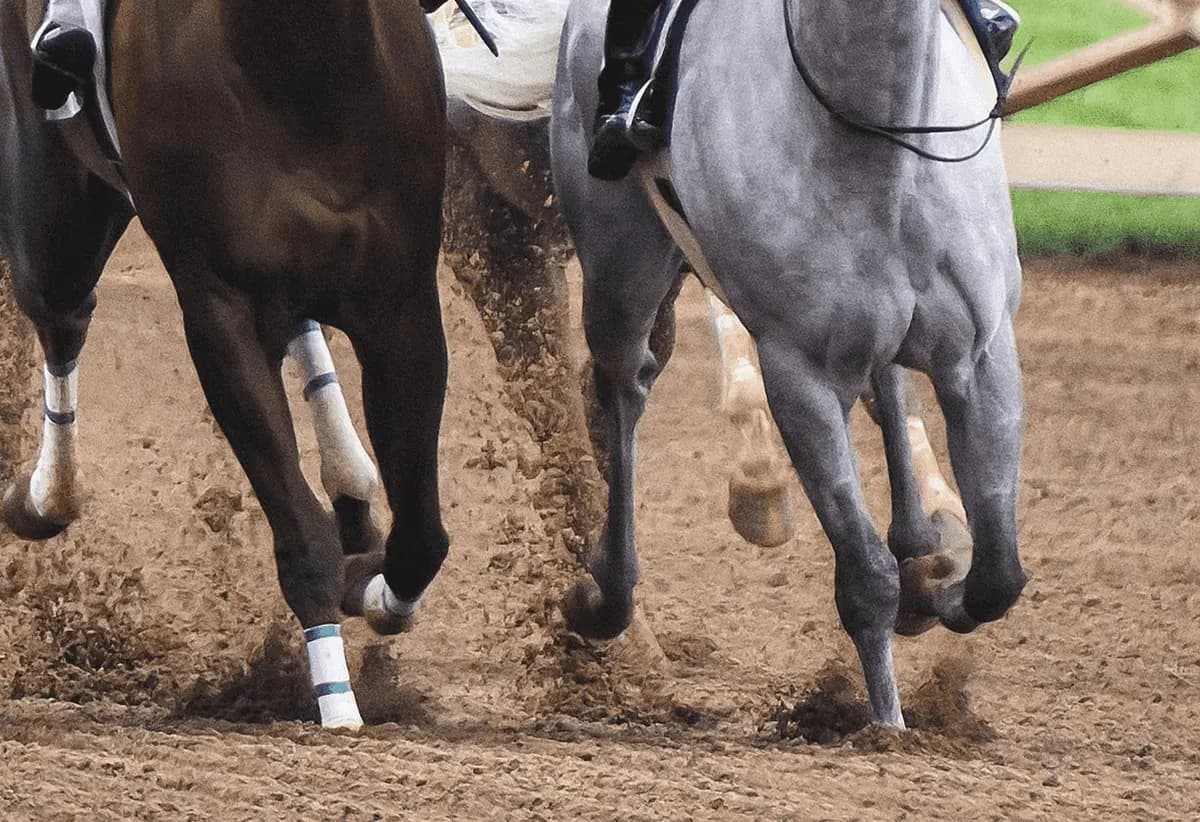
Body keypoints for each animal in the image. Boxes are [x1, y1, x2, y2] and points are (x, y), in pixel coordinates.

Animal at [0, 0, 449, 728]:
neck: (300, 64)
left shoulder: (401, 305)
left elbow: (423, 538)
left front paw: (375, 589)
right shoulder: (221, 310)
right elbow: (302, 535)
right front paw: (338, 708)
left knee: (298, 326)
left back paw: (352, 486)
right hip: (52, 212)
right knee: (63, 313)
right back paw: (43, 497)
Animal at [542, 0, 1027, 728]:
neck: (876, 127)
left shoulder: (982, 354)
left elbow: (999, 574)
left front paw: (932, 589)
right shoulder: (799, 371)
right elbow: (865, 578)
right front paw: (887, 727)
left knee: (887, 383)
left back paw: (920, 545)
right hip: (619, 269)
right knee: (623, 390)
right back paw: (608, 594)